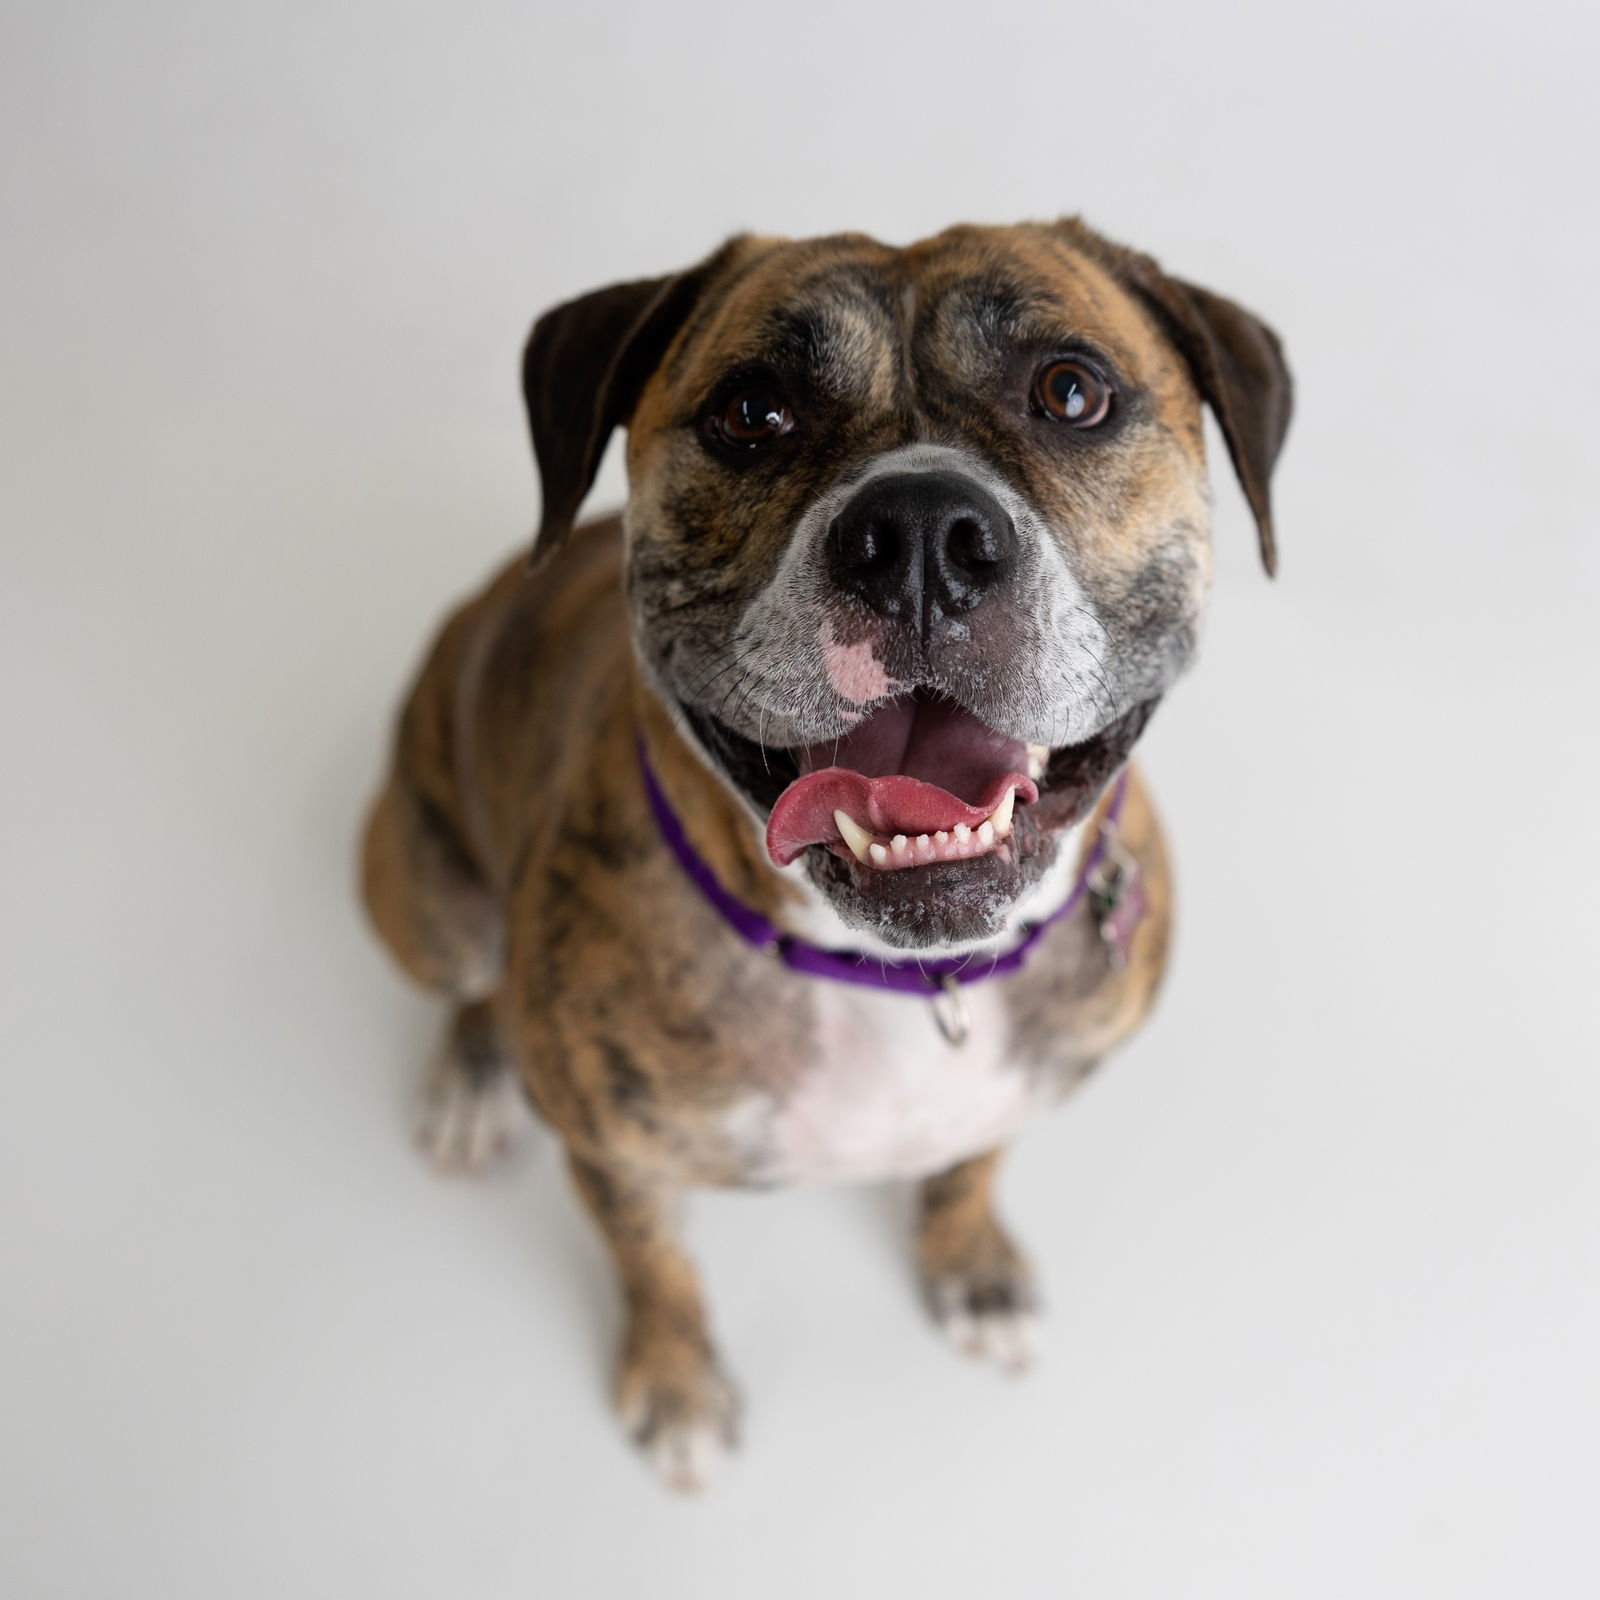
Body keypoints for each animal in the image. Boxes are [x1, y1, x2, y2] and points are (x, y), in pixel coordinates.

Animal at [360, 219, 1286, 1491]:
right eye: (753, 410)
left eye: (1071, 391)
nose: (921, 536)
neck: (902, 980)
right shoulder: (614, 1156)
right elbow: (654, 1264)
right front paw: (678, 1386)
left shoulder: (1007, 1092)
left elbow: (966, 1169)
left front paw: (972, 1270)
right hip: (421, 885)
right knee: (470, 977)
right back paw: (470, 1077)